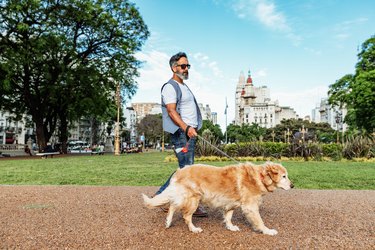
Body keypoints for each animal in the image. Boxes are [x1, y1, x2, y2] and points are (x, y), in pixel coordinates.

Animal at [142, 162, 296, 234]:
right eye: (284, 176)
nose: (293, 185)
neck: (260, 177)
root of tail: (179, 170)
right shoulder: (250, 207)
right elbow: (260, 221)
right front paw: (267, 231)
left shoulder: (230, 204)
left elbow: (228, 217)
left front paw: (231, 227)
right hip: (193, 199)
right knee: (185, 215)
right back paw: (193, 229)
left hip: (186, 197)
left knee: (173, 206)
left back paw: (168, 221)